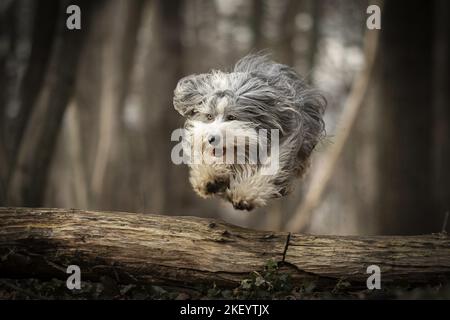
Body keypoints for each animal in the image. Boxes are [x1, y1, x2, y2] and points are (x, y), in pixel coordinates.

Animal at [174, 54, 326, 210]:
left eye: (232, 117)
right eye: (209, 116)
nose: (211, 139)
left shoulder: (286, 139)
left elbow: (269, 168)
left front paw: (244, 195)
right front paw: (209, 178)